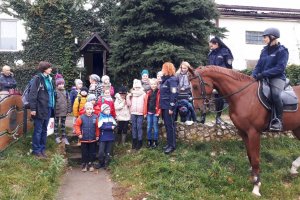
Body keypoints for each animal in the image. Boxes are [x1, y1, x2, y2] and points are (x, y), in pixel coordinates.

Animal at [189, 65, 298, 195]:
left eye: (195, 86)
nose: (197, 108)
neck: (243, 95)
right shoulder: (243, 132)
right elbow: (250, 155)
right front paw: (253, 177)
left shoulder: (254, 132)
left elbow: (255, 159)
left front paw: (256, 186)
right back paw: (294, 167)